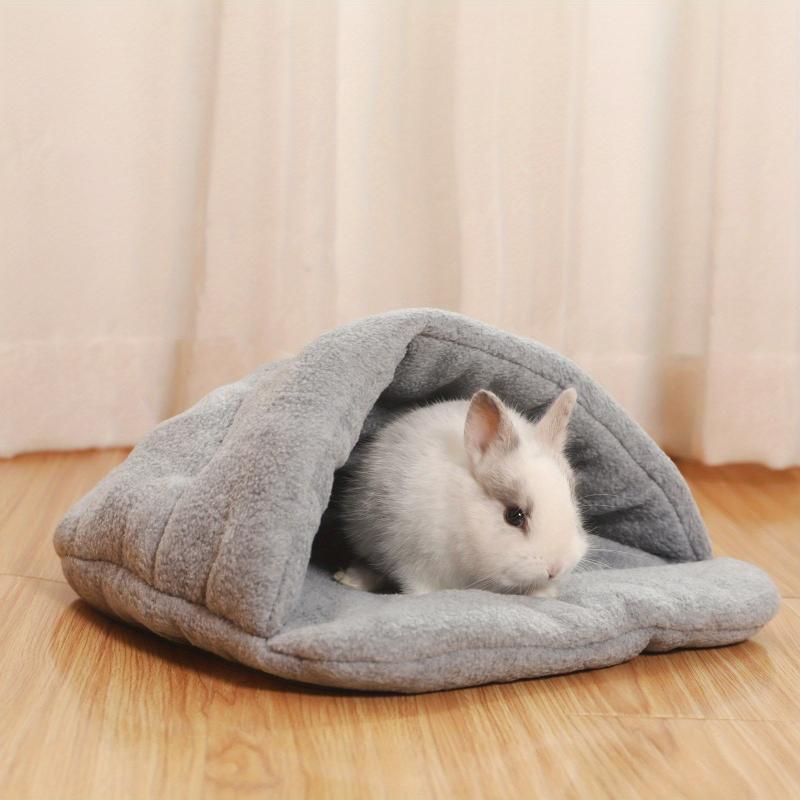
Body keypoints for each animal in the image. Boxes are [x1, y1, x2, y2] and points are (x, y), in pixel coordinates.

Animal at [334, 387, 587, 597]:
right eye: (514, 516)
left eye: (573, 503)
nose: (555, 568)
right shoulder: (415, 560)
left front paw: (544, 594)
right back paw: (349, 579)